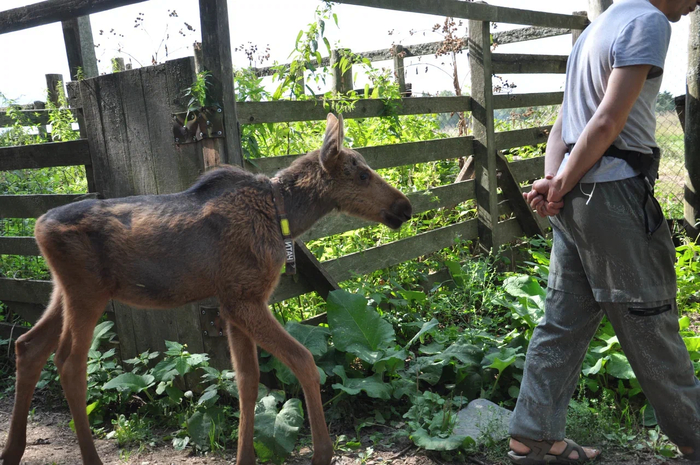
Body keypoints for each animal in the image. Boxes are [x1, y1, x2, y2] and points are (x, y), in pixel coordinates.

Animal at [2, 113, 412, 464]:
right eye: (361, 175)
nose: (404, 207)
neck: (282, 217)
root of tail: (38, 225)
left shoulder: (233, 303)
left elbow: (247, 382)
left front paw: (245, 457)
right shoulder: (244, 299)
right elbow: (304, 361)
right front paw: (322, 452)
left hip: (64, 291)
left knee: (29, 345)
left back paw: (12, 450)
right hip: (87, 294)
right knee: (69, 363)